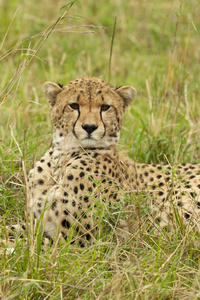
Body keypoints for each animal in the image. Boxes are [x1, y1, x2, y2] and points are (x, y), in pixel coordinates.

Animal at [27, 76, 200, 245]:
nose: (89, 127)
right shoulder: (38, 223)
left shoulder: (77, 239)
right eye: (74, 105)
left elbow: (30, 243)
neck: (61, 158)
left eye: (105, 107)